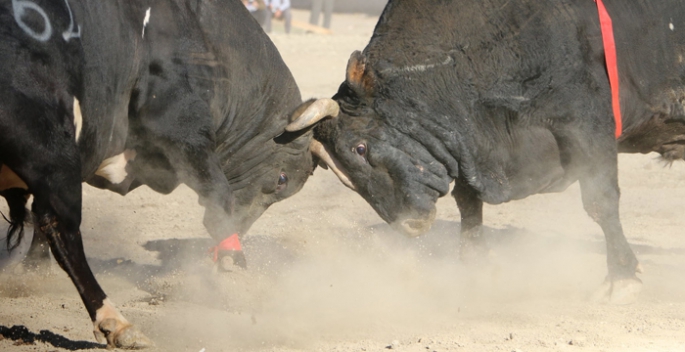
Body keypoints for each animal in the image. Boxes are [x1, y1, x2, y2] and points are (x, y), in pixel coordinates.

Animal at [0, 0, 336, 348]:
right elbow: (219, 196)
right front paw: (232, 267)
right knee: (60, 226)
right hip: (49, 142)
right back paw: (117, 323)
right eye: (282, 179)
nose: (242, 230)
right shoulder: (180, 129)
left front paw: (31, 271)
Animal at [312, 0, 684, 306]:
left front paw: (621, 278)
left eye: (360, 148)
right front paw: (475, 267)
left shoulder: (588, 125)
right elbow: (468, 202)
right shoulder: (466, 147)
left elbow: (600, 202)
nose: (409, 226)